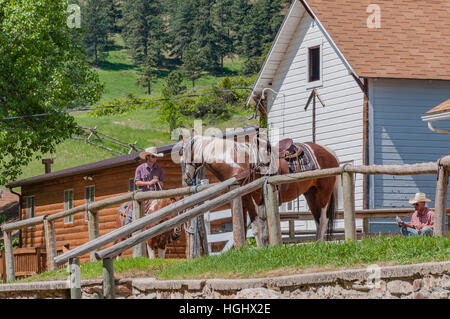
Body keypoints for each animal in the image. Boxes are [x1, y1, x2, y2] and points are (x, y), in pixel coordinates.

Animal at [179, 134, 342, 242]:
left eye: (183, 153)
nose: (186, 179)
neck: (241, 164)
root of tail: (329, 152)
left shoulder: (253, 197)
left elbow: (257, 228)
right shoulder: (243, 198)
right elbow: (246, 228)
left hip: (323, 193)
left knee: (323, 219)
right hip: (310, 194)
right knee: (318, 220)